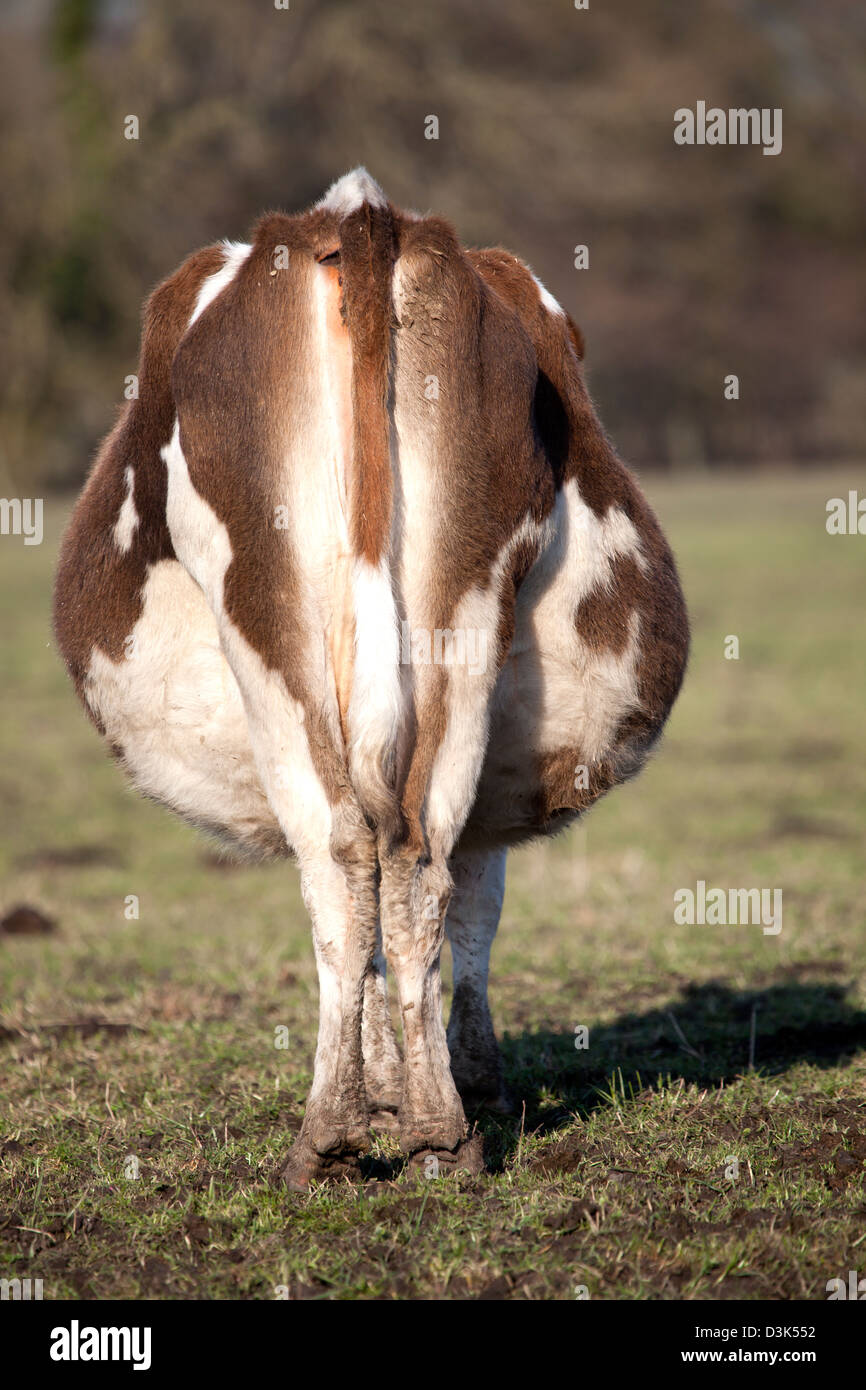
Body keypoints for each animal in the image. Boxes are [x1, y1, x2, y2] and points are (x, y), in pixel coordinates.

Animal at [54, 168, 692, 1189]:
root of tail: (356, 216)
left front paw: (424, 1087)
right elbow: (457, 916)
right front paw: (436, 1087)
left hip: (267, 620)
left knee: (347, 859)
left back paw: (335, 1136)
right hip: (457, 620)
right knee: (411, 855)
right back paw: (435, 1133)